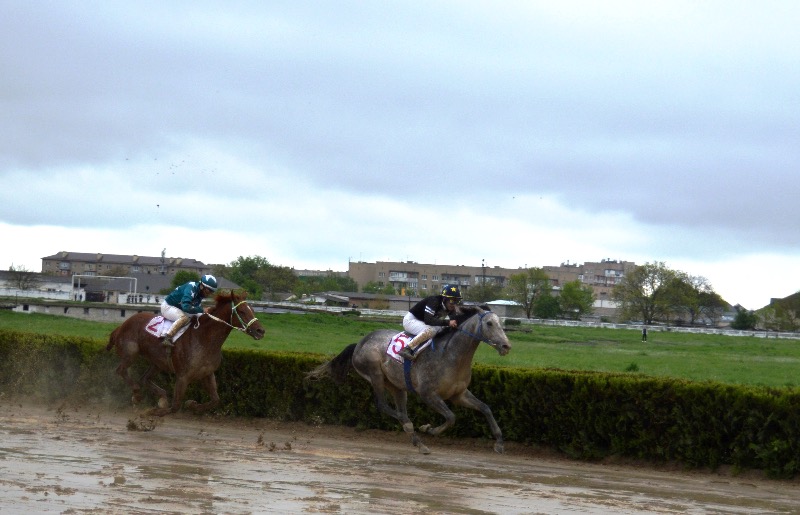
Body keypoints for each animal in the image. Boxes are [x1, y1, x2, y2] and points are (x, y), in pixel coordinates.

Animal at [104, 292, 262, 418]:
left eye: (253, 310)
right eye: (242, 311)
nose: (261, 331)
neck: (204, 339)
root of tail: (121, 326)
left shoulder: (207, 373)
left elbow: (215, 400)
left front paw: (192, 405)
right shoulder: (183, 376)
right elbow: (175, 406)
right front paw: (151, 412)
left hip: (158, 362)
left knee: (144, 379)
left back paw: (161, 397)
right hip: (130, 353)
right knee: (121, 371)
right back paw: (137, 395)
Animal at [306, 306, 512, 456]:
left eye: (501, 323)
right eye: (489, 323)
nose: (506, 346)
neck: (451, 355)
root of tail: (359, 343)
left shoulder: (459, 394)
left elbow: (485, 408)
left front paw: (499, 443)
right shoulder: (428, 394)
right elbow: (451, 417)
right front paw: (429, 429)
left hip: (397, 386)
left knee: (398, 408)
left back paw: (418, 442)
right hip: (375, 374)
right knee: (384, 406)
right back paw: (410, 425)